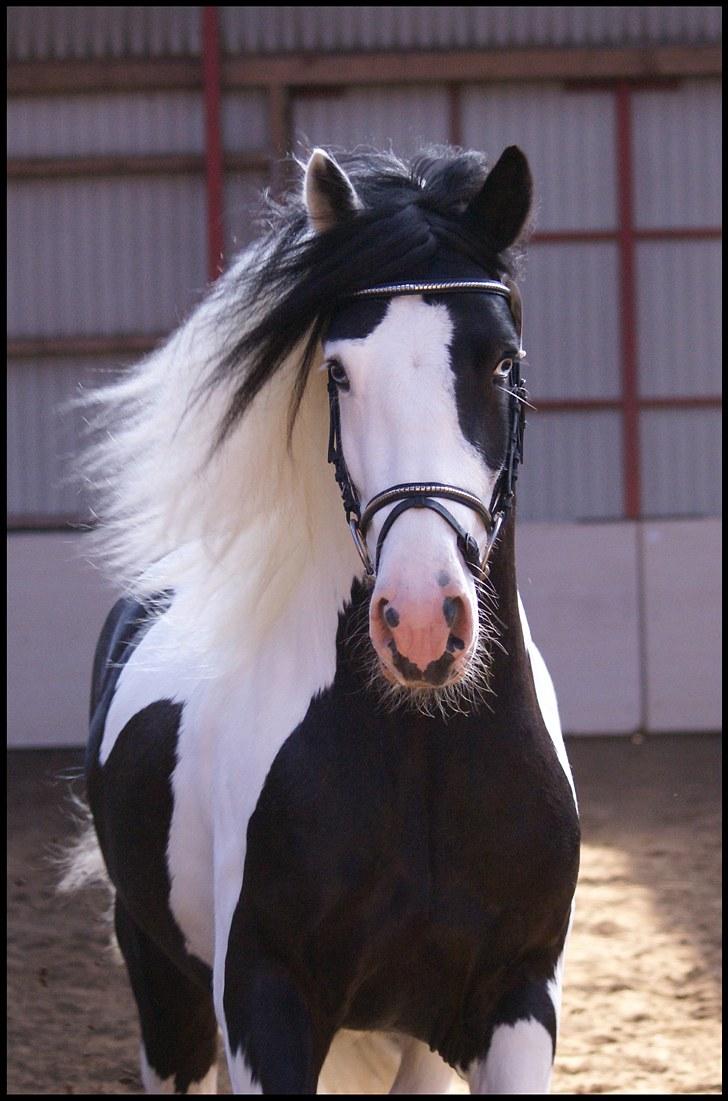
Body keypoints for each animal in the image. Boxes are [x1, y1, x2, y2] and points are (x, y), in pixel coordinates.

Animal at [78, 144, 577, 1092]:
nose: (420, 624)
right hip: (163, 986)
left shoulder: (516, 1000)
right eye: (339, 371)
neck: (426, 752)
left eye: (502, 361)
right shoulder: (263, 1000)